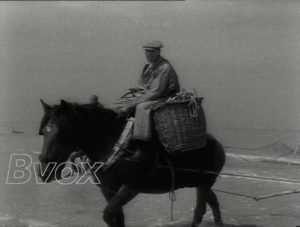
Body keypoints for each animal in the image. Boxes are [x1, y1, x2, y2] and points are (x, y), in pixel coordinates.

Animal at [37, 98, 225, 227]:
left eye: (61, 133)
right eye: (44, 132)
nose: (43, 171)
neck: (115, 146)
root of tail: (217, 143)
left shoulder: (130, 188)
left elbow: (108, 214)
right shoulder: (107, 189)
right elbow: (116, 218)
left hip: (204, 182)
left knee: (199, 211)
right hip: (197, 182)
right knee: (213, 202)